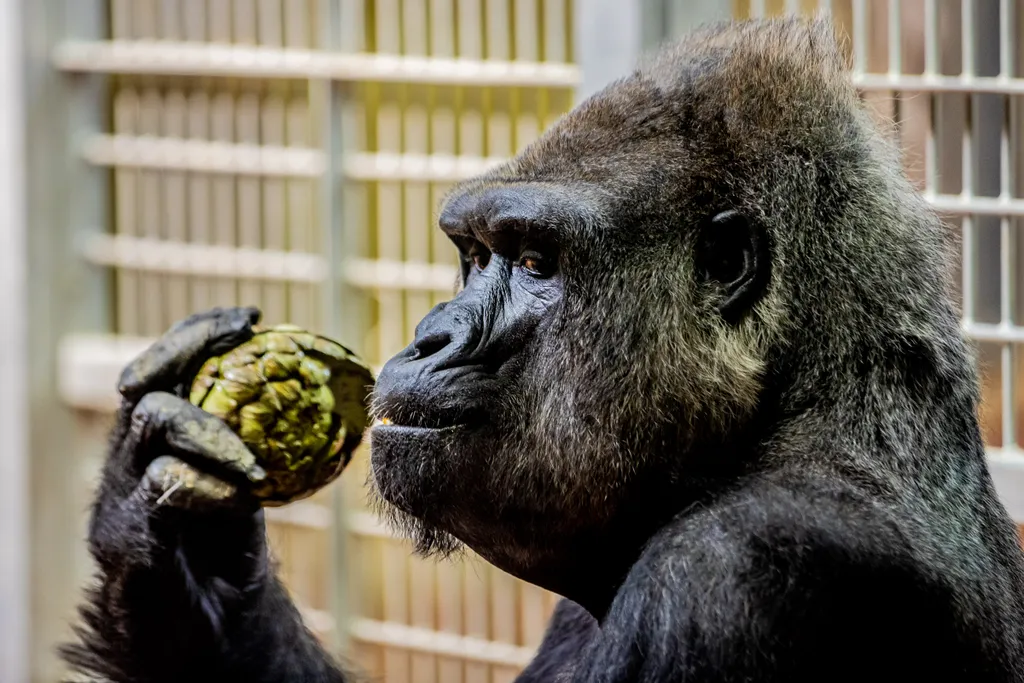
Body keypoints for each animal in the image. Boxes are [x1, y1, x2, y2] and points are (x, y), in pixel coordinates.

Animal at [61, 14, 1024, 683]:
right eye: (472, 253)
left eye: (532, 262)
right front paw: (169, 537)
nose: (431, 335)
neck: (786, 406)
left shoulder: (732, 576)